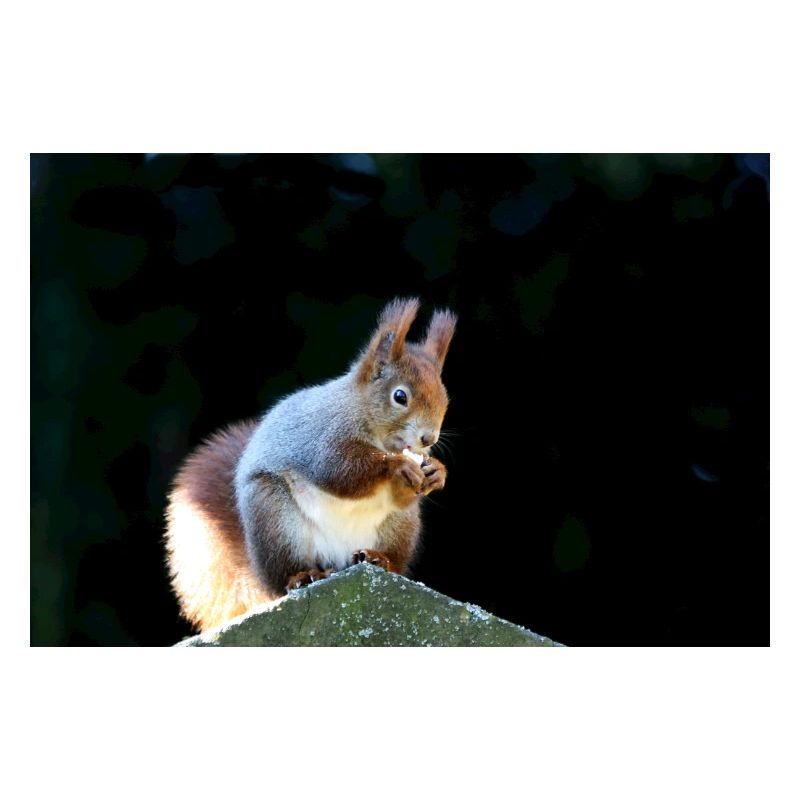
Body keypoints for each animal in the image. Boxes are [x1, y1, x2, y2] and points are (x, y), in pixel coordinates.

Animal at [164, 298, 456, 631]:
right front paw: (395, 467)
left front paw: (436, 472)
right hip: (275, 518)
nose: (428, 437)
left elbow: (402, 494)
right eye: (400, 396)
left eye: (444, 398)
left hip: (400, 526)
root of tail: (337, 559)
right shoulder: (322, 440)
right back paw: (303, 576)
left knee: (392, 553)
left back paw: (379, 559)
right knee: (285, 574)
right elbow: (340, 471)